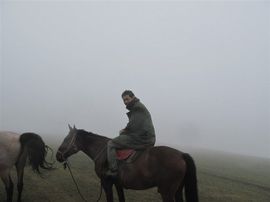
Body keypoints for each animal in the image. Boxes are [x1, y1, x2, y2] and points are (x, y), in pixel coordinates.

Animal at [56, 124, 198, 202]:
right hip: (177, 191)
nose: (58, 156)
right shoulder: (118, 184)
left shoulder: (107, 184)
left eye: (66, 139)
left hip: (167, 193)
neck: (103, 151)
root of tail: (181, 154)